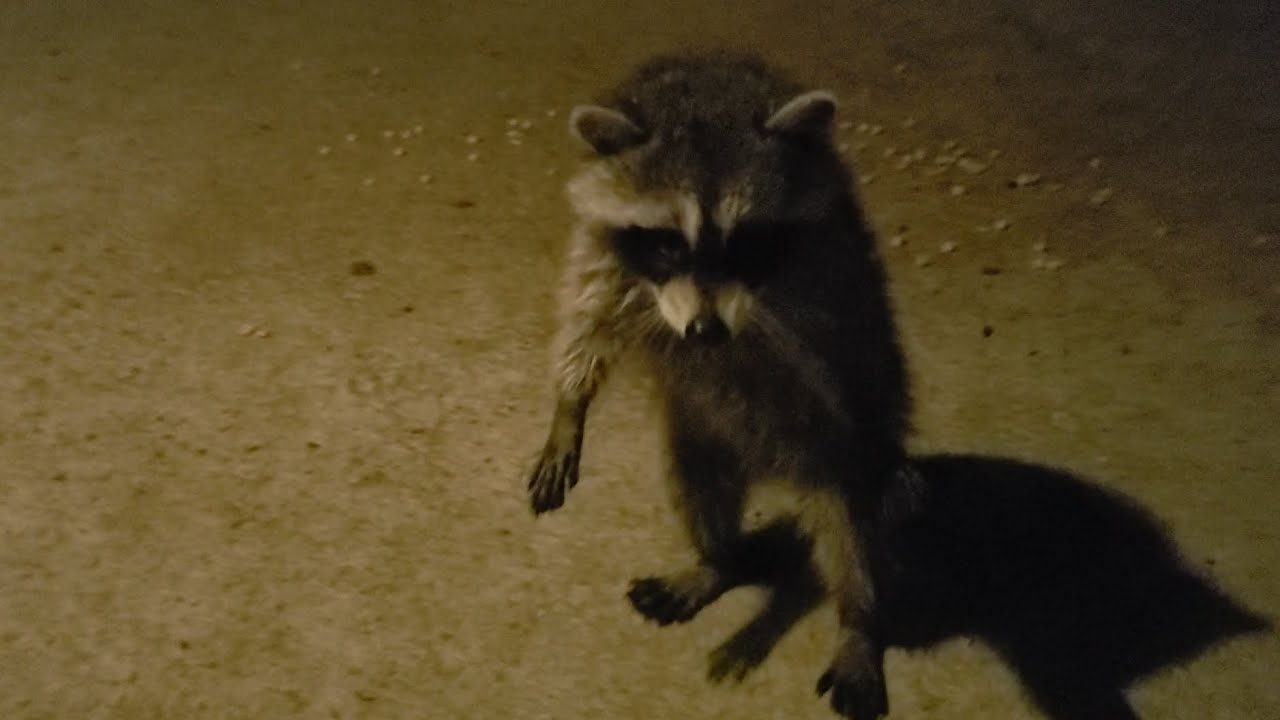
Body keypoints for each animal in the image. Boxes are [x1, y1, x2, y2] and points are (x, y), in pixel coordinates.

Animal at [526, 51, 913, 720]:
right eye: (666, 242)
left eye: (747, 239)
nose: (706, 332)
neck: (704, 93)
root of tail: (769, 466)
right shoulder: (603, 245)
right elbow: (588, 318)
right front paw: (569, 405)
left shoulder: (829, 275)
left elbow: (832, 359)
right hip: (698, 437)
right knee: (697, 486)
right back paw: (717, 562)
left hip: (834, 453)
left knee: (850, 523)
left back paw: (858, 620)